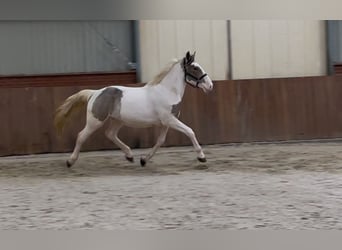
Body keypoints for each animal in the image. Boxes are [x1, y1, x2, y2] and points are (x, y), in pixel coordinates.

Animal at [54, 51, 212, 167]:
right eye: (195, 68)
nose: (210, 86)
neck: (167, 91)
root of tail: (95, 93)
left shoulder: (166, 123)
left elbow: (160, 141)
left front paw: (144, 160)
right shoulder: (170, 120)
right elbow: (190, 131)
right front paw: (201, 157)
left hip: (117, 120)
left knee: (110, 134)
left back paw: (130, 156)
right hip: (95, 121)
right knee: (81, 135)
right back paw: (70, 161)